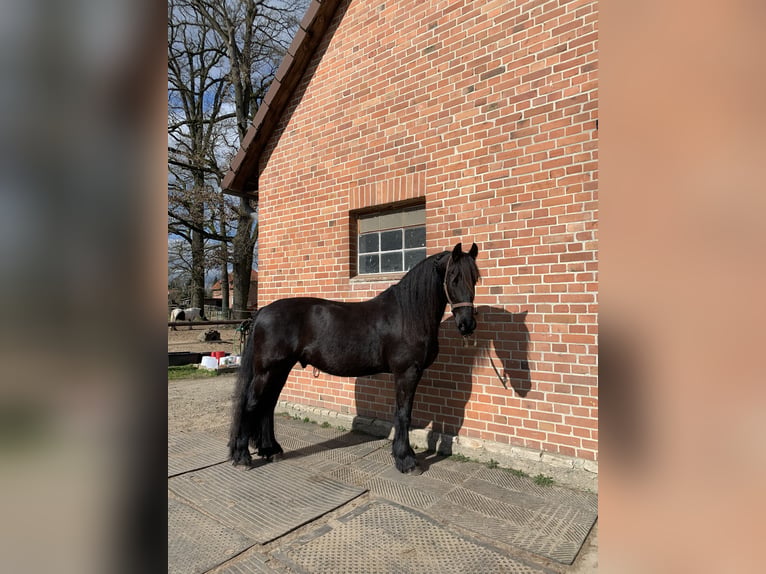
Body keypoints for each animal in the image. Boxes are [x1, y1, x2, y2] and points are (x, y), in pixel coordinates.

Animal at [229, 242, 480, 473]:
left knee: (267, 405)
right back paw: (243, 457)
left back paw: (271, 450)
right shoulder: (406, 373)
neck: (407, 314)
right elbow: (403, 414)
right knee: (252, 404)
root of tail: (262, 311)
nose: (467, 324)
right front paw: (406, 460)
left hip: (280, 369)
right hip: (267, 371)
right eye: (454, 277)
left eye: (475, 278)